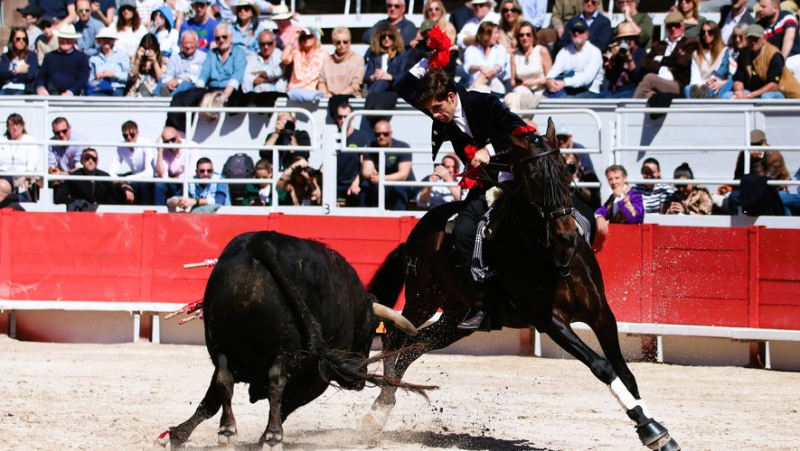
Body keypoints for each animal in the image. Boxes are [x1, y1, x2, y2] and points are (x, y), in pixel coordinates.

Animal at [160, 231, 434, 450]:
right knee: (276, 382)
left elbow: (211, 400)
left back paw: (226, 431)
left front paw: (176, 435)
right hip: (288, 348)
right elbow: (288, 403)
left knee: (223, 380)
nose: (357, 381)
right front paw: (267, 438)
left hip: (219, 342)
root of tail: (260, 244)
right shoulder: (317, 377)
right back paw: (272, 437)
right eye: (368, 335)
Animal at [368, 120, 680, 451]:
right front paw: (651, 428)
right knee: (394, 338)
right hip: (422, 297)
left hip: (454, 319)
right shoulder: (549, 320)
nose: (567, 237)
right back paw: (380, 407)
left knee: (417, 345)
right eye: (535, 180)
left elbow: (624, 372)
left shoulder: (601, 313)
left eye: (566, 170)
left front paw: (653, 427)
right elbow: (602, 366)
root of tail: (418, 230)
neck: (553, 257)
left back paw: (384, 402)